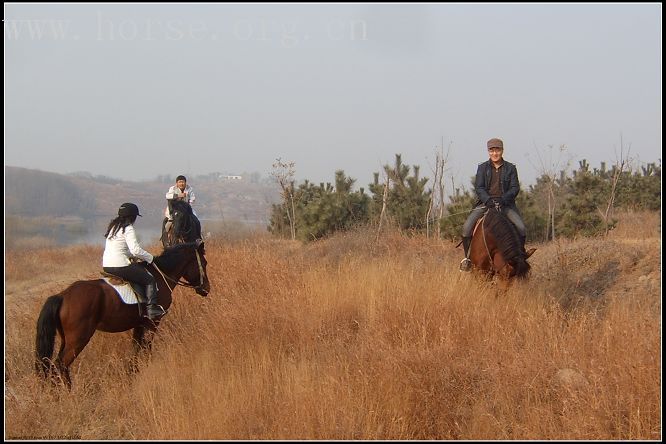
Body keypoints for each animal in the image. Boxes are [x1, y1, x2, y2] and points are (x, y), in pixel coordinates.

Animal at [34, 239, 210, 388]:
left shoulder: (139, 324)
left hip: (67, 339)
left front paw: (133, 374)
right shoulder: (152, 323)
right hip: (78, 339)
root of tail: (63, 296)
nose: (206, 289)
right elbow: (146, 349)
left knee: (56, 366)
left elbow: (136, 350)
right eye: (204, 263)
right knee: (60, 365)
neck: (160, 277)